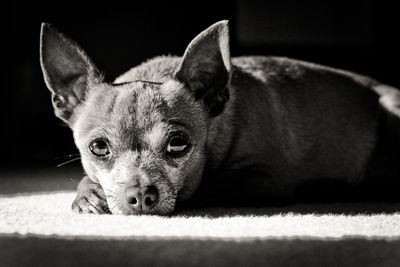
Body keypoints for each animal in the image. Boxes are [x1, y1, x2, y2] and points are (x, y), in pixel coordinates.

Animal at [40, 20, 400, 216]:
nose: (141, 195)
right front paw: (88, 194)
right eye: (98, 147)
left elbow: (206, 184)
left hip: (391, 109)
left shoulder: (265, 179)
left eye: (178, 144)